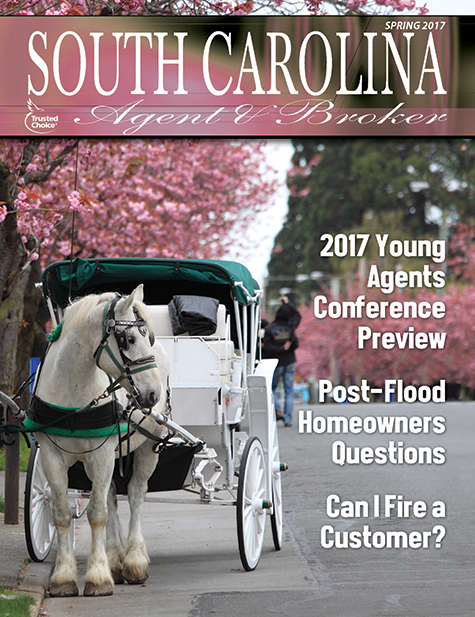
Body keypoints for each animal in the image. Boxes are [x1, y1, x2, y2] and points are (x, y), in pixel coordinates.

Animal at [30, 286, 170, 596]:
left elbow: (97, 514)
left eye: (148, 336)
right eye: (128, 339)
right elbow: (62, 513)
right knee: (112, 498)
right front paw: (64, 577)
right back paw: (115, 559)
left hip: (148, 446)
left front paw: (97, 576)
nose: (153, 394)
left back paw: (134, 559)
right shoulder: (51, 457)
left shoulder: (102, 454)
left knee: (136, 494)